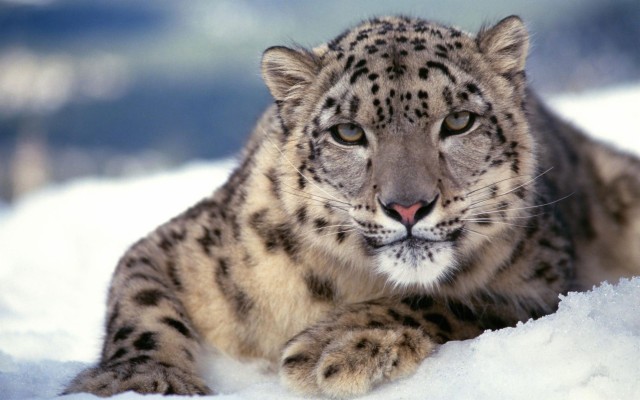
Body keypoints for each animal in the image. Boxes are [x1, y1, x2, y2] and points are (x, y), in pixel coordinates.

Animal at [63, 15, 640, 398]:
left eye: (458, 121)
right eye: (347, 132)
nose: (407, 207)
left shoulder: (543, 283)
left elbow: (451, 300)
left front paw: (333, 347)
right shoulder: (178, 247)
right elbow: (141, 303)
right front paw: (140, 381)